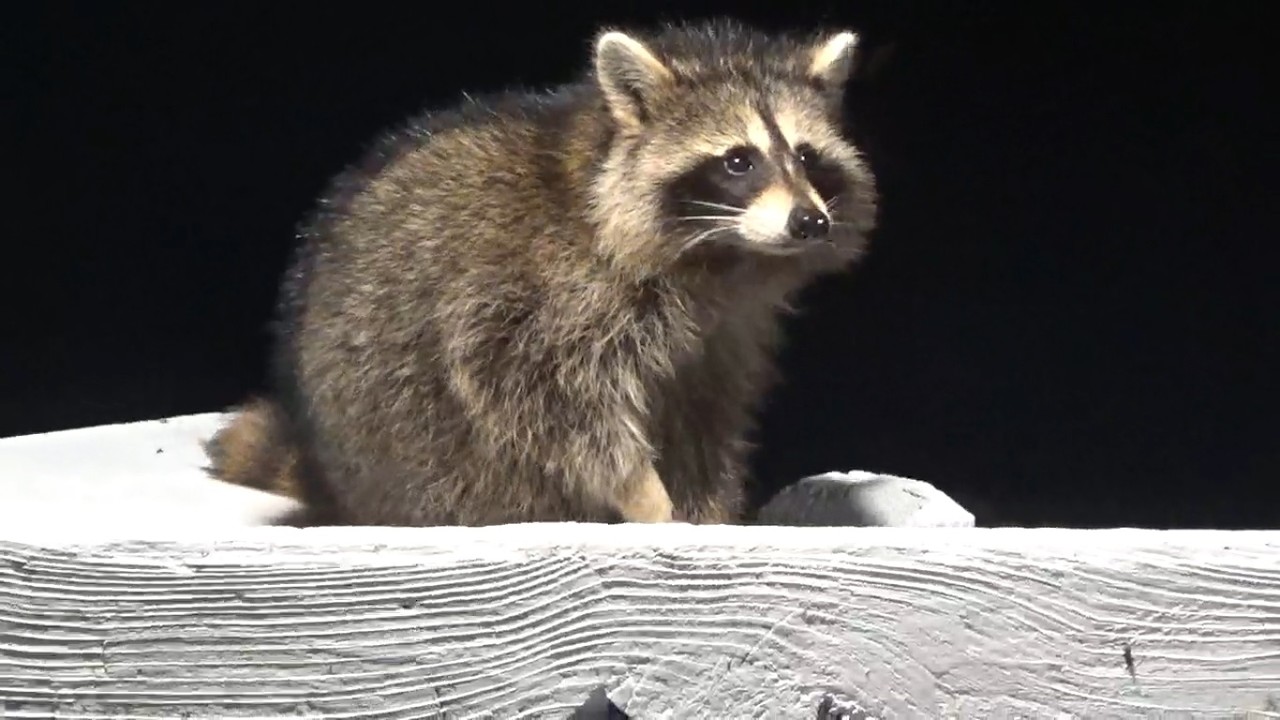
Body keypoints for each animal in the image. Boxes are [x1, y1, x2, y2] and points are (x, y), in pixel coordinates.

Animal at [204, 18, 879, 527]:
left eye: (805, 157)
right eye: (739, 161)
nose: (810, 222)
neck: (724, 256)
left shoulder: (726, 332)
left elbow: (705, 417)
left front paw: (710, 510)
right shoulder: (544, 296)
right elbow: (551, 403)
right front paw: (646, 496)